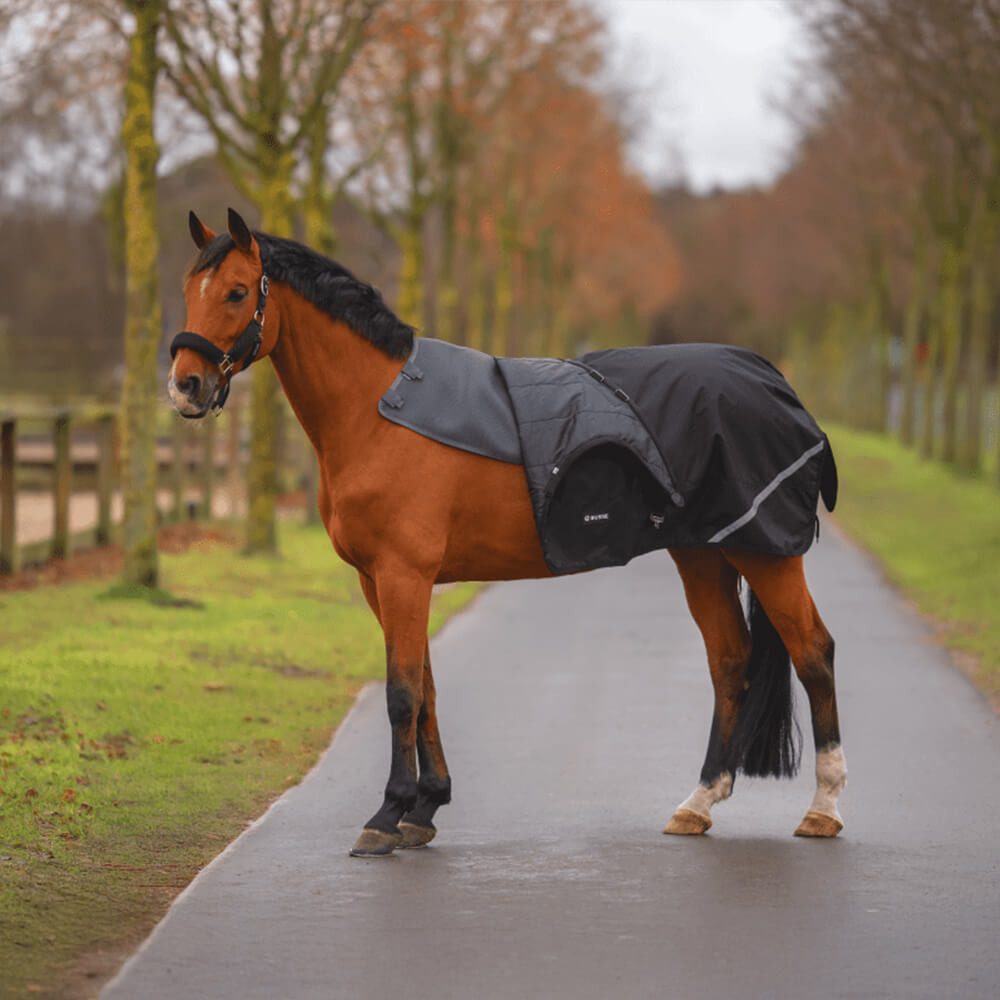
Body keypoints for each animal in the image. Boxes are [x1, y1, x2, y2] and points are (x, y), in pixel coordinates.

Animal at [168, 208, 847, 857]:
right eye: (186, 289)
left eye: (235, 292)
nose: (185, 386)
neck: (378, 411)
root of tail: (771, 380)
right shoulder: (381, 581)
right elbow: (426, 687)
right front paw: (425, 807)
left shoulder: (403, 574)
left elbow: (401, 693)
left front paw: (387, 814)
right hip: (703, 553)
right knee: (729, 660)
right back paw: (698, 803)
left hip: (763, 553)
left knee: (813, 653)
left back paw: (823, 809)